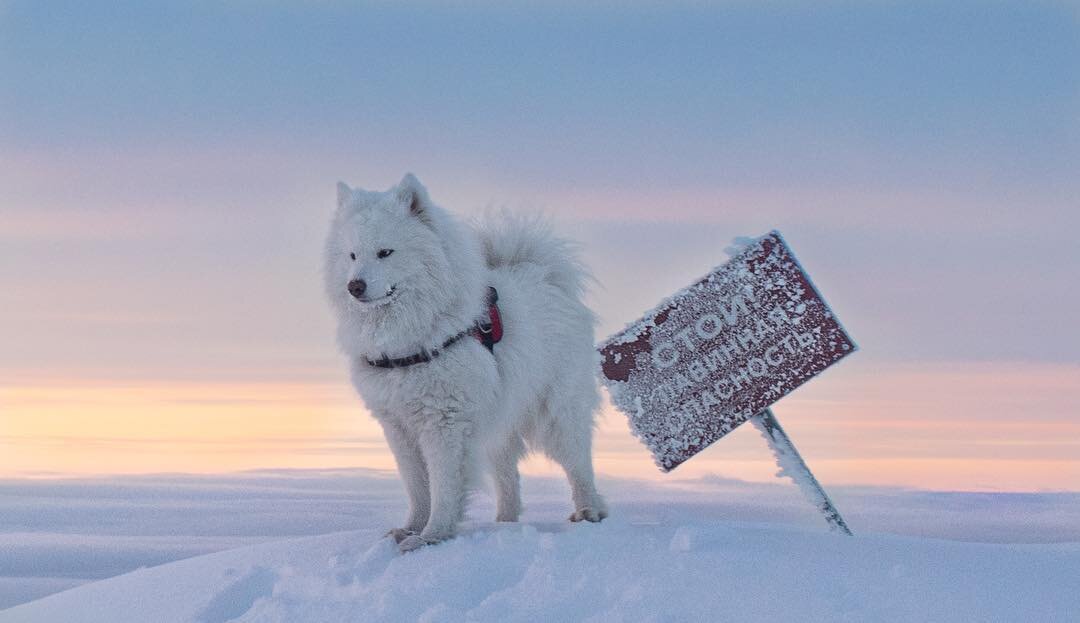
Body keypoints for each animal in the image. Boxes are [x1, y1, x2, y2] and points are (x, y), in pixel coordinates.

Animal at [319, 172, 609, 550]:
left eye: (385, 252)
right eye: (352, 255)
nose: (355, 286)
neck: (409, 335)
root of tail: (543, 274)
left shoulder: (444, 422)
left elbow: (443, 486)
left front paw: (432, 536)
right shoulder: (398, 425)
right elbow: (417, 486)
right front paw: (409, 529)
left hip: (556, 411)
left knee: (578, 462)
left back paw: (589, 510)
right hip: (501, 418)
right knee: (507, 474)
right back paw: (505, 522)